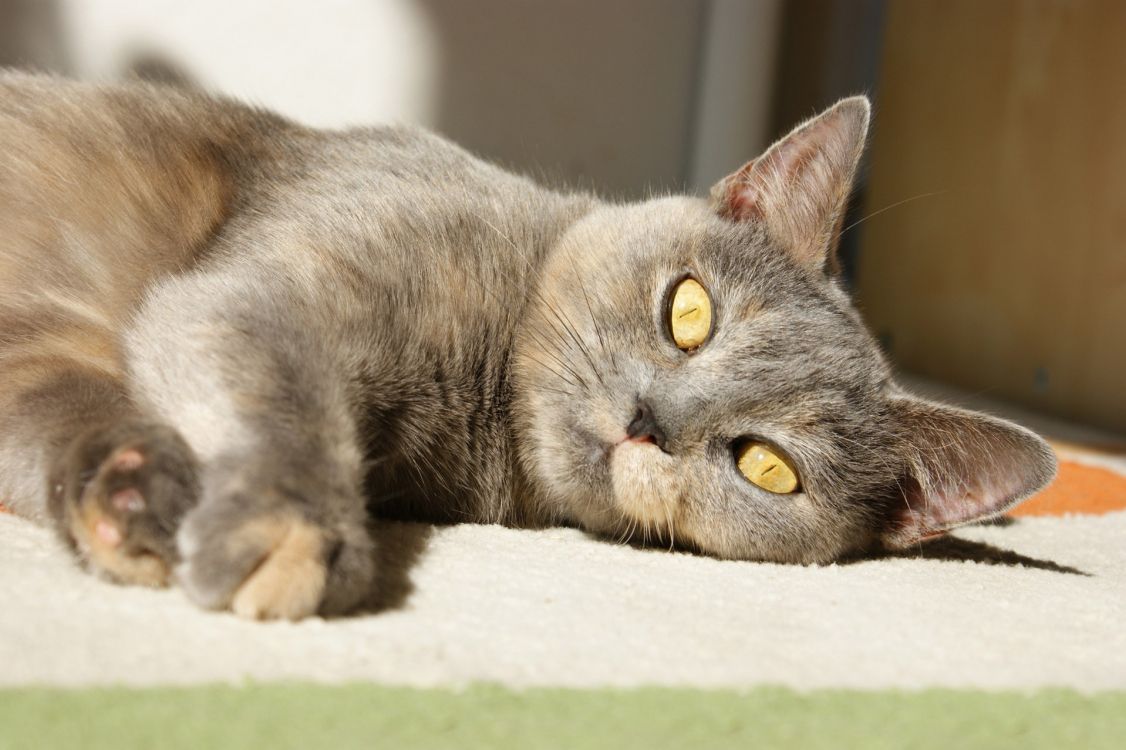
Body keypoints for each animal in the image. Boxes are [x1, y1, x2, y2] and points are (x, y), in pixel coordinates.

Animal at [0, 73, 1053, 617]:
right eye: (690, 312)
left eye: (767, 466)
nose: (650, 421)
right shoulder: (268, 288)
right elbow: (283, 389)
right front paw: (289, 530)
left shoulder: (40, 356)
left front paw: (137, 503)